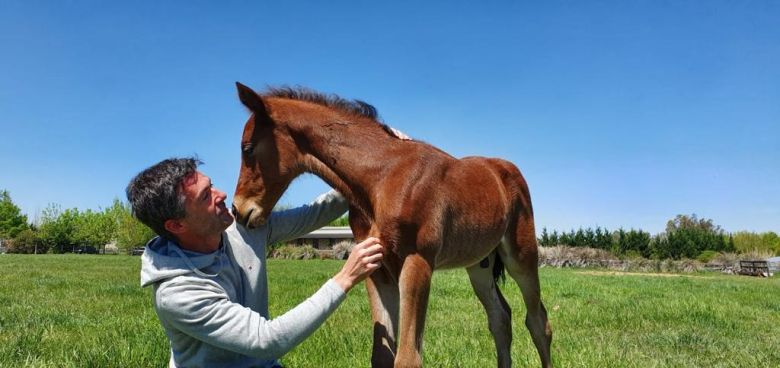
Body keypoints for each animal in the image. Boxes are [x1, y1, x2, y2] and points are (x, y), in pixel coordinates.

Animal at [232, 83, 556, 368]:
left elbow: (408, 357)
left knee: (538, 321)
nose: (238, 209)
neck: (383, 179)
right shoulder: (377, 268)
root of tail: (505, 170)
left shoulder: (417, 262)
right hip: (479, 264)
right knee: (500, 318)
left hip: (521, 256)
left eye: (247, 148)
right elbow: (382, 355)